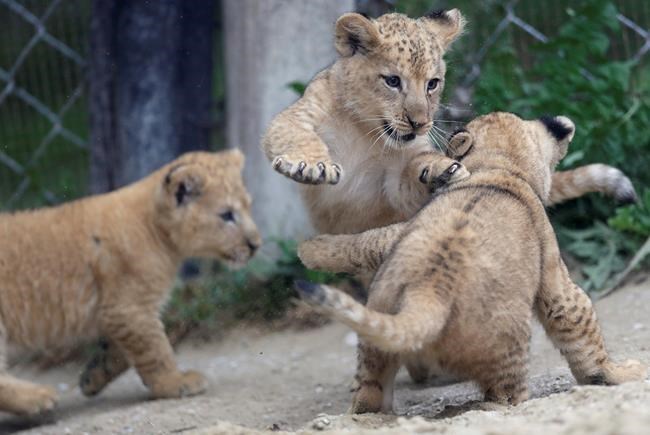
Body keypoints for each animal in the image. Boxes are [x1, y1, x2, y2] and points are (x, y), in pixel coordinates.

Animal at [0, 149, 261, 414]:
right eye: (226, 215)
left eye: (248, 206)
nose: (256, 245)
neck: (157, 230)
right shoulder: (130, 308)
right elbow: (155, 349)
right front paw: (174, 382)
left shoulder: (119, 312)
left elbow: (121, 352)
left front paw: (92, 378)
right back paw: (38, 397)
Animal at [296, 113, 646, 413]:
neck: (500, 169)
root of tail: (427, 294)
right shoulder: (552, 270)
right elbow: (579, 323)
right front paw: (621, 373)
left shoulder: (409, 227)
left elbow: (364, 241)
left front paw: (309, 248)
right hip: (507, 346)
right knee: (502, 400)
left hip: (376, 338)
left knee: (369, 396)